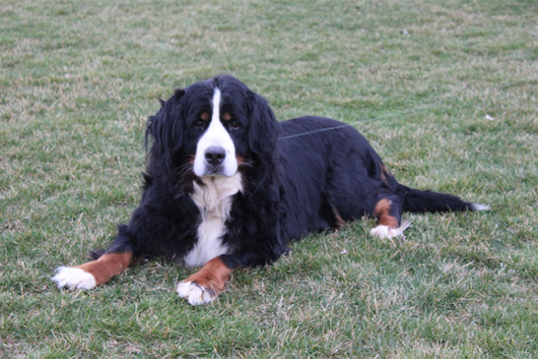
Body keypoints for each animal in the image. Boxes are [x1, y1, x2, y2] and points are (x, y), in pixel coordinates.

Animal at [52, 74, 488, 306]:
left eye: (235, 124)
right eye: (197, 123)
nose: (214, 155)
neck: (213, 195)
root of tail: (358, 134)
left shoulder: (264, 241)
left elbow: (222, 258)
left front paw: (199, 283)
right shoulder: (149, 221)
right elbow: (117, 251)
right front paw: (81, 273)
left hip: (344, 191)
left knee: (389, 196)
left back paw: (387, 228)